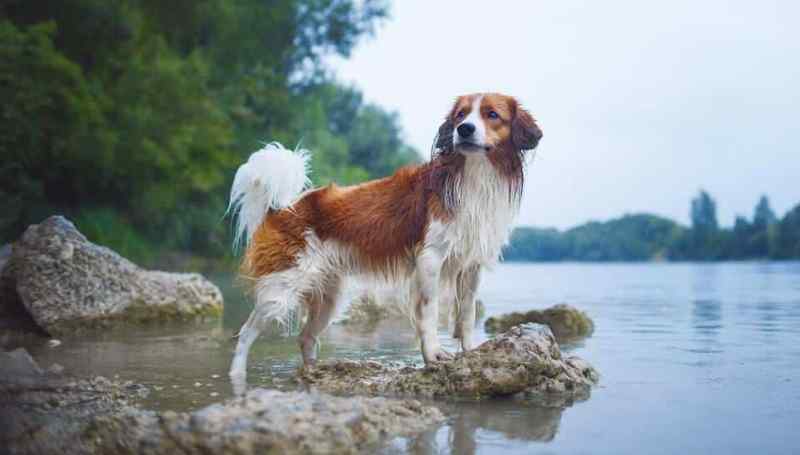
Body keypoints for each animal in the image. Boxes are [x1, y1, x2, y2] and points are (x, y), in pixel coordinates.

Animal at [228, 92, 548, 382]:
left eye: (492, 114)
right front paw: (433, 355)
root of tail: (281, 209)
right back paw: (237, 376)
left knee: (306, 338)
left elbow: (467, 313)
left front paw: (471, 353)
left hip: (328, 298)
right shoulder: (430, 258)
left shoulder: (471, 264)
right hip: (280, 289)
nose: (464, 129)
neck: (474, 176)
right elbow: (429, 312)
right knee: (245, 334)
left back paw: (313, 373)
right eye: (461, 115)